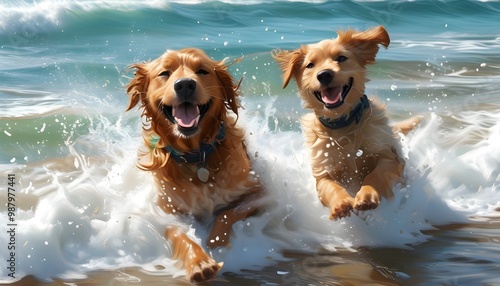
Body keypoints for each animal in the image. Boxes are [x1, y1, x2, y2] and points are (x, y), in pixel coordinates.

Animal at [125, 48, 260, 282]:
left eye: (202, 71)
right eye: (164, 73)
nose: (185, 85)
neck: (195, 156)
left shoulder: (260, 193)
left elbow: (227, 214)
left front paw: (215, 243)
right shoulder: (165, 210)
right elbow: (179, 233)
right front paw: (200, 261)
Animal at [274, 25, 422, 220]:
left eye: (341, 58)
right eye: (310, 65)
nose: (324, 75)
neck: (343, 125)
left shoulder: (390, 157)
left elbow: (375, 175)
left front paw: (367, 195)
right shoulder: (323, 171)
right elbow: (331, 187)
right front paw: (341, 203)